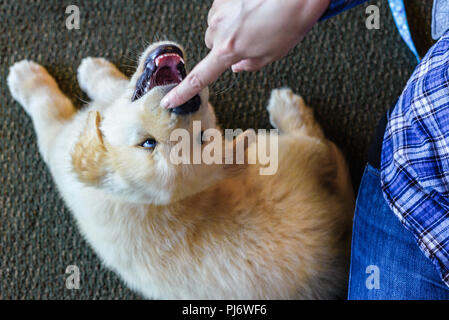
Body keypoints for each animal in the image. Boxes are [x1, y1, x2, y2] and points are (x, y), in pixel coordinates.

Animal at [6, 41, 354, 298]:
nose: (185, 104)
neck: (138, 201)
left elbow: (49, 108)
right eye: (148, 143)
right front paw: (95, 72)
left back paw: (285, 108)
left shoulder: (59, 141)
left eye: (200, 138)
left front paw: (28, 78)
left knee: (321, 144)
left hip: (281, 149)